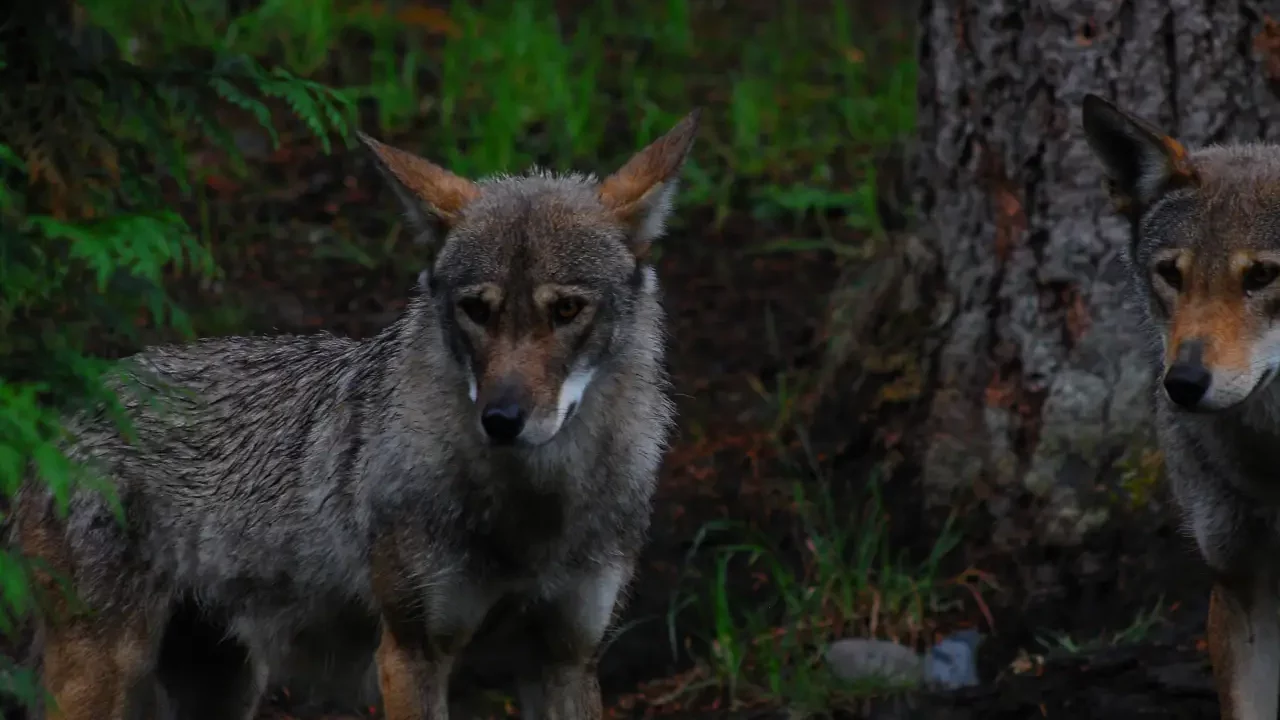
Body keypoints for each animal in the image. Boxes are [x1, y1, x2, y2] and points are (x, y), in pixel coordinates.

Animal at [11, 109, 700, 720]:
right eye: (477, 310)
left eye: (566, 311)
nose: (502, 419)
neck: (532, 512)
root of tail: (70, 411)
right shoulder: (410, 654)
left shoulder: (565, 659)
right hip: (107, 678)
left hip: (225, 689)